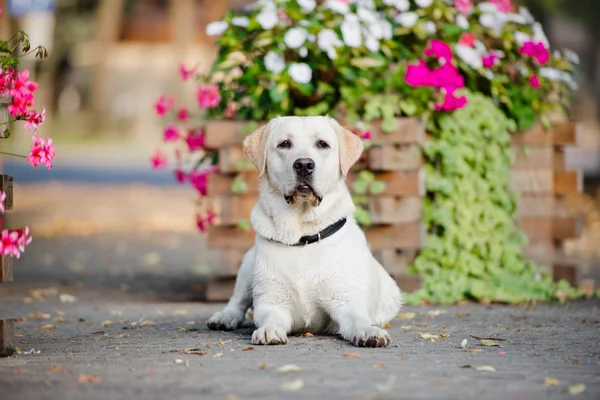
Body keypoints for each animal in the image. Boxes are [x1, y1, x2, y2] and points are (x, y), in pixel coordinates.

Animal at [206, 115, 404, 346]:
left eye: (322, 144)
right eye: (284, 144)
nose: (303, 165)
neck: (303, 235)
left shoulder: (345, 301)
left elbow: (358, 318)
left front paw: (370, 331)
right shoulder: (272, 301)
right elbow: (270, 316)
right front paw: (269, 330)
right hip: (248, 266)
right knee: (237, 301)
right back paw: (223, 317)